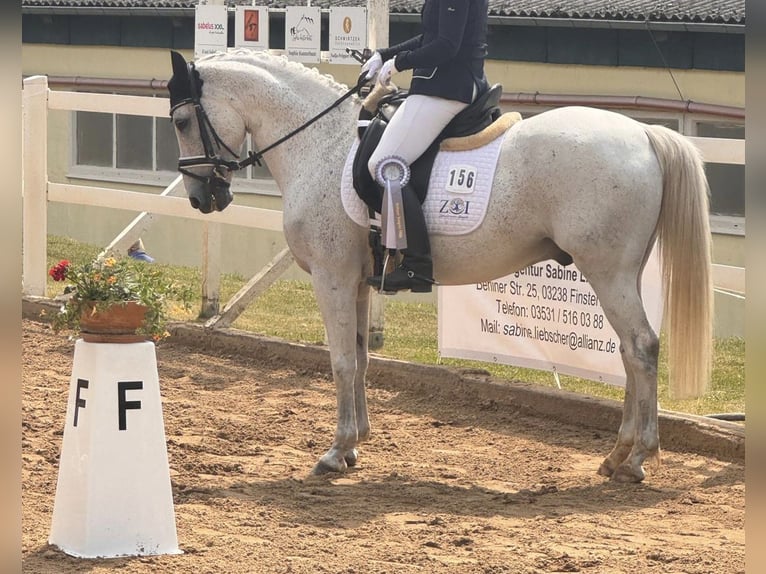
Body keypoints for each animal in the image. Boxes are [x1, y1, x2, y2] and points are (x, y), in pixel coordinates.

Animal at [166, 49, 712, 484]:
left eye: (180, 121)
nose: (201, 198)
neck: (319, 143)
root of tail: (643, 133)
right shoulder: (359, 281)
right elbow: (361, 359)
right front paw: (357, 443)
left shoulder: (332, 277)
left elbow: (341, 361)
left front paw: (336, 450)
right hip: (620, 273)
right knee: (628, 353)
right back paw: (617, 454)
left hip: (608, 272)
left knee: (641, 347)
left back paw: (637, 458)